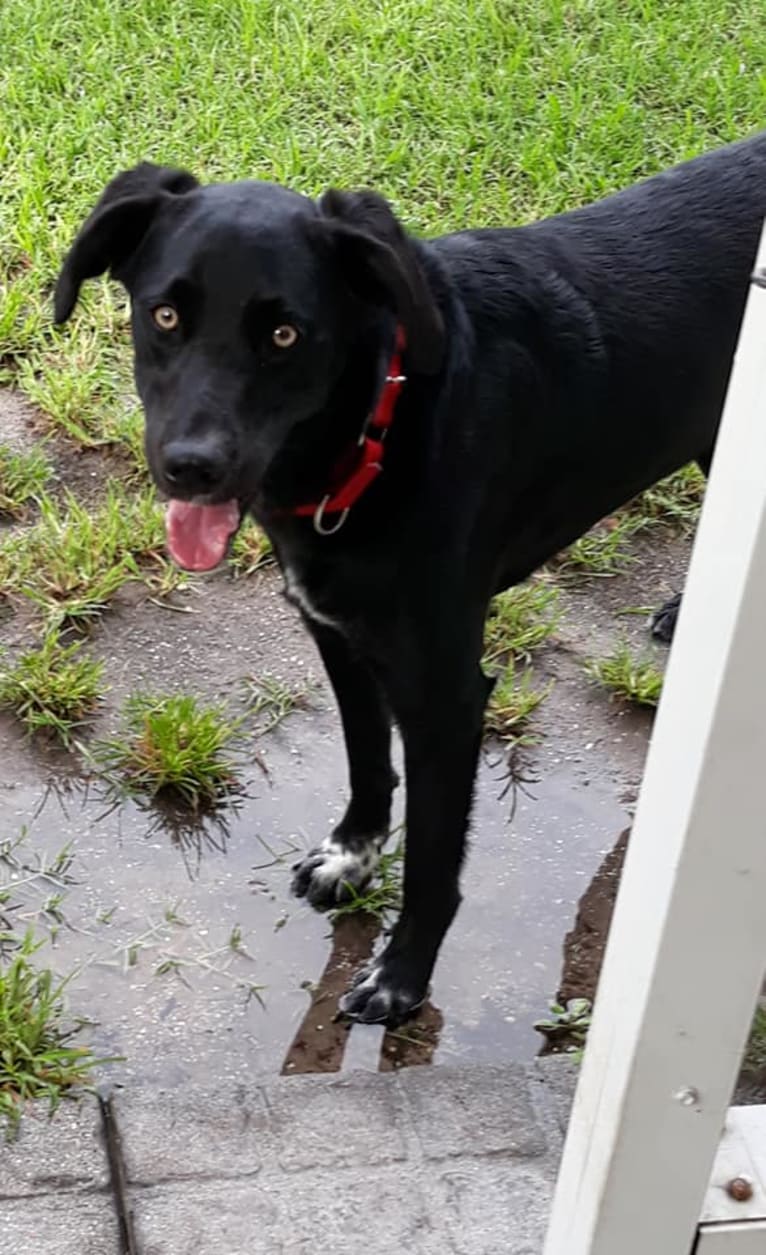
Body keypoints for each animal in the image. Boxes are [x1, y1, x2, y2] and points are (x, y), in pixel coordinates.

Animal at [56, 132, 763, 1024]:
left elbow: (433, 858)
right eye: (166, 314)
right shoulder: (337, 634)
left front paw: (402, 975)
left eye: (285, 335)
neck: (374, 435)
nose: (191, 468)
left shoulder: (447, 697)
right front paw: (351, 856)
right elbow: (367, 760)